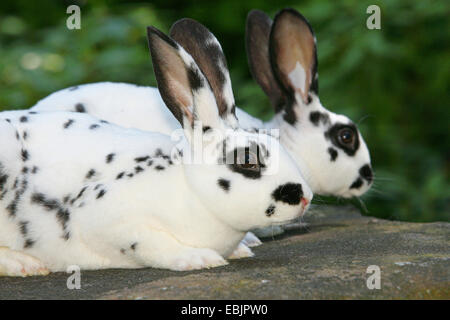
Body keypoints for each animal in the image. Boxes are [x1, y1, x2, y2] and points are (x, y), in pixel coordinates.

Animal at [0, 26, 312, 276]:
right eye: (247, 160)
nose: (306, 197)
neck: (188, 187)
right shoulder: (104, 217)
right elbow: (150, 243)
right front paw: (199, 258)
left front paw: (240, 250)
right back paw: (24, 264)